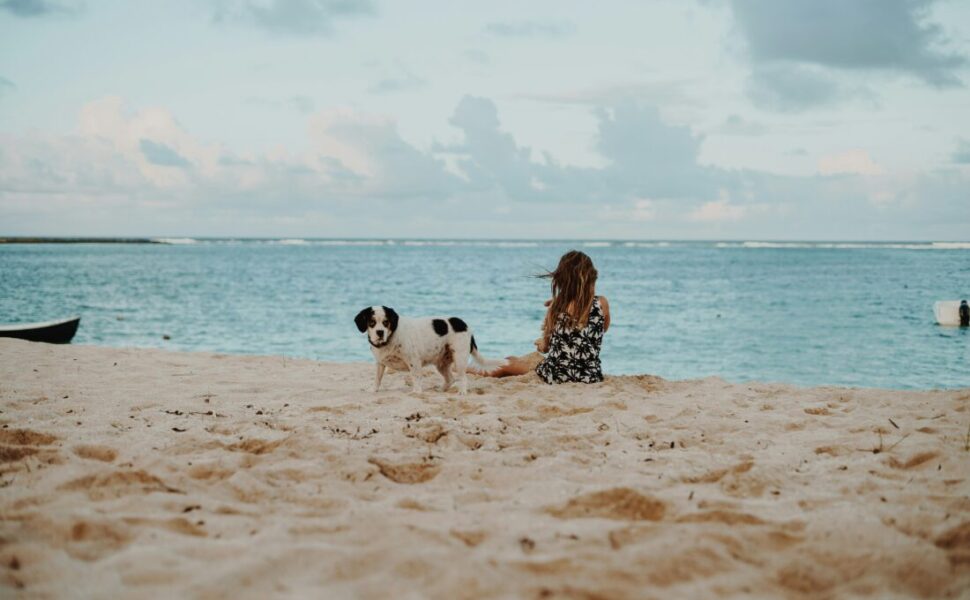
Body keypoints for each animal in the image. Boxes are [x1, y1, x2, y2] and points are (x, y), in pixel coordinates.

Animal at [352, 304, 500, 394]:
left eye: (386, 322)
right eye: (371, 322)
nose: (380, 332)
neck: (390, 338)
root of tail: (465, 325)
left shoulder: (414, 361)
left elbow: (416, 377)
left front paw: (416, 392)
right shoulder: (380, 363)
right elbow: (377, 379)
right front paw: (373, 390)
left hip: (460, 359)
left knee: (462, 378)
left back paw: (462, 392)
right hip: (441, 364)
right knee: (450, 379)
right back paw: (440, 390)